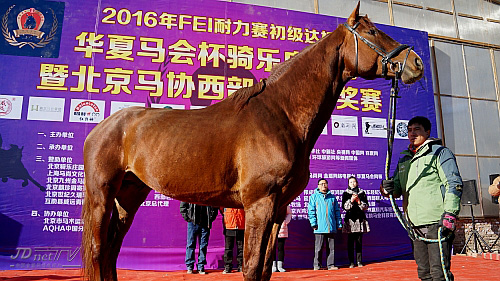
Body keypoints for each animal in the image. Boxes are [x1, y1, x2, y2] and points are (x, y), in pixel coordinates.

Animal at [81, 3, 422, 278]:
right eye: (373, 31)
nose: (416, 63)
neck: (279, 115)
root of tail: (102, 126)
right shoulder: (259, 204)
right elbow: (251, 266)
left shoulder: (278, 208)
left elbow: (265, 269)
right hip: (102, 194)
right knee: (99, 251)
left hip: (129, 195)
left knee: (111, 250)